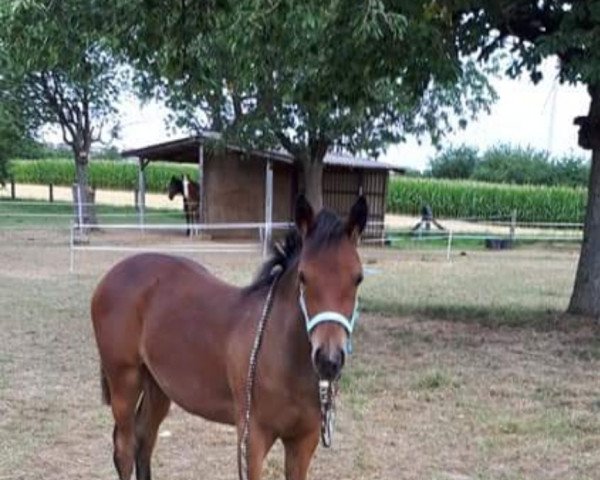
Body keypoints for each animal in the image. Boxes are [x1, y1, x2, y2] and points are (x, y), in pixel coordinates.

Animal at [91, 195, 368, 480]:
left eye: (358, 278)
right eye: (303, 276)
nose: (329, 360)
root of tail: (113, 274)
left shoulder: (304, 441)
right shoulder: (252, 437)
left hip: (157, 385)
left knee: (144, 439)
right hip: (124, 380)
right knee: (124, 448)